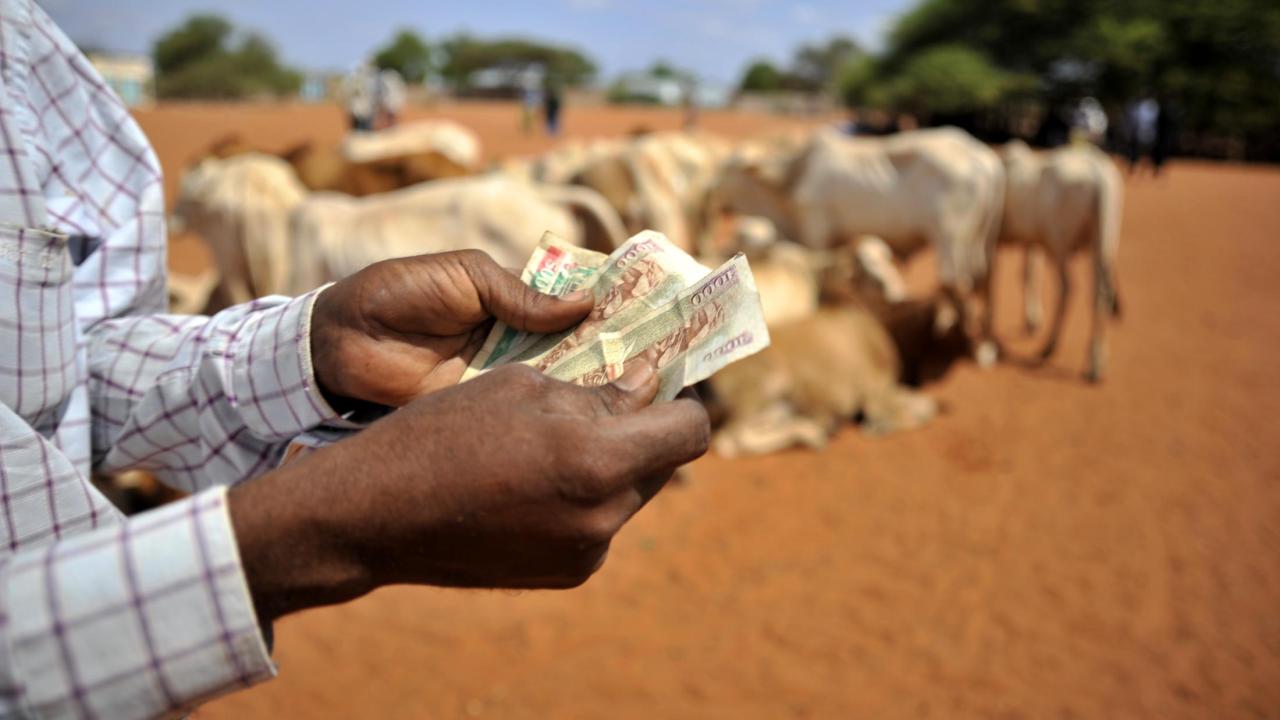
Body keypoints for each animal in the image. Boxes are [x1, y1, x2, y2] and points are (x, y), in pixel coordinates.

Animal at [998, 136, 1121, 379]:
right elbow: (1029, 274)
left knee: (1067, 287)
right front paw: (1032, 320)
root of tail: (1100, 175)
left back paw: (1050, 346)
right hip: (1104, 240)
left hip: (1060, 243)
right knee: (1101, 291)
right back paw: (1097, 360)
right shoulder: (1033, 241)